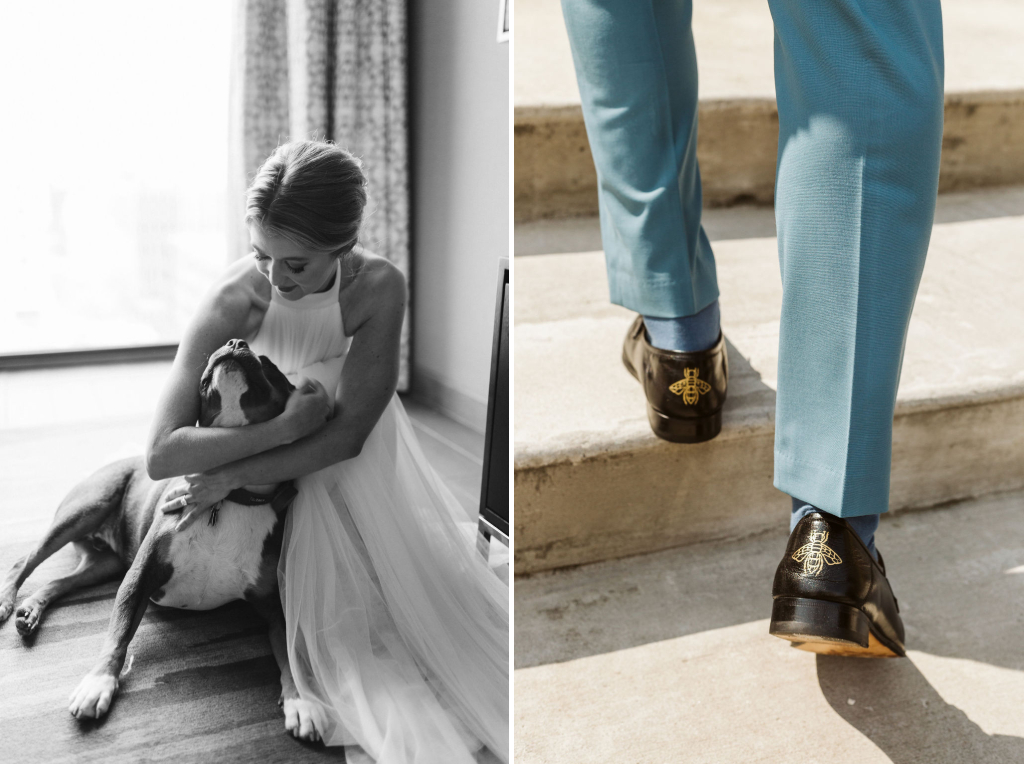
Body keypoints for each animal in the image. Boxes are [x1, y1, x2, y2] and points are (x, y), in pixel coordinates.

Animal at [0, 337, 321, 737]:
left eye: (269, 364)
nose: (234, 341)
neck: (227, 497)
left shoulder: (274, 605)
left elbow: (291, 654)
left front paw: (302, 701)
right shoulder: (140, 576)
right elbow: (119, 634)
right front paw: (97, 684)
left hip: (105, 564)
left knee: (59, 582)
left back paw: (30, 611)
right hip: (83, 511)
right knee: (25, 561)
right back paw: (8, 601)